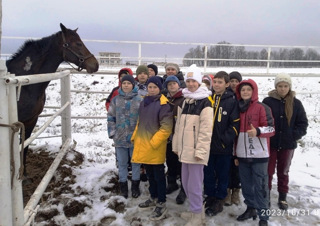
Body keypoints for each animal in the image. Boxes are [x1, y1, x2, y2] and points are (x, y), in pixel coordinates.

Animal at [5, 23, 99, 177]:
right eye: (78, 43)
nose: (95, 64)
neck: (24, 82)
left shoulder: (31, 120)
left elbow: (25, 146)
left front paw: (24, 175)